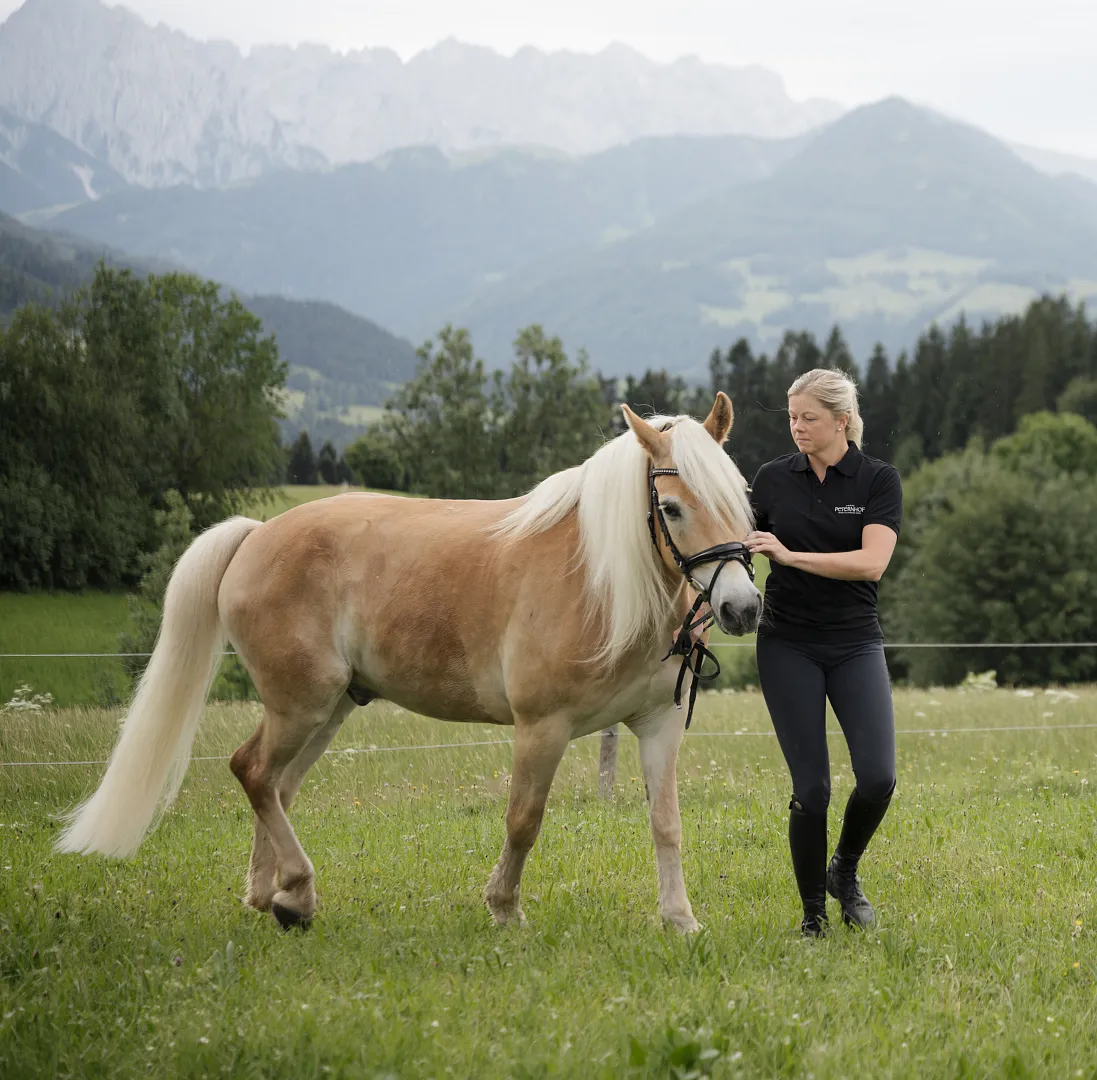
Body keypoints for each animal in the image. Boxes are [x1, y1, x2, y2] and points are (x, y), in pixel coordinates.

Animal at [56, 393, 761, 932]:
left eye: (741, 498)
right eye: (670, 508)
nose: (742, 608)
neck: (603, 581)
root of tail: (256, 535)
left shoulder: (657, 726)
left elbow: (666, 823)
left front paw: (680, 920)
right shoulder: (542, 729)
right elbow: (523, 821)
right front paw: (505, 910)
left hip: (327, 711)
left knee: (274, 786)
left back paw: (271, 895)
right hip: (300, 706)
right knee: (252, 771)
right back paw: (298, 892)